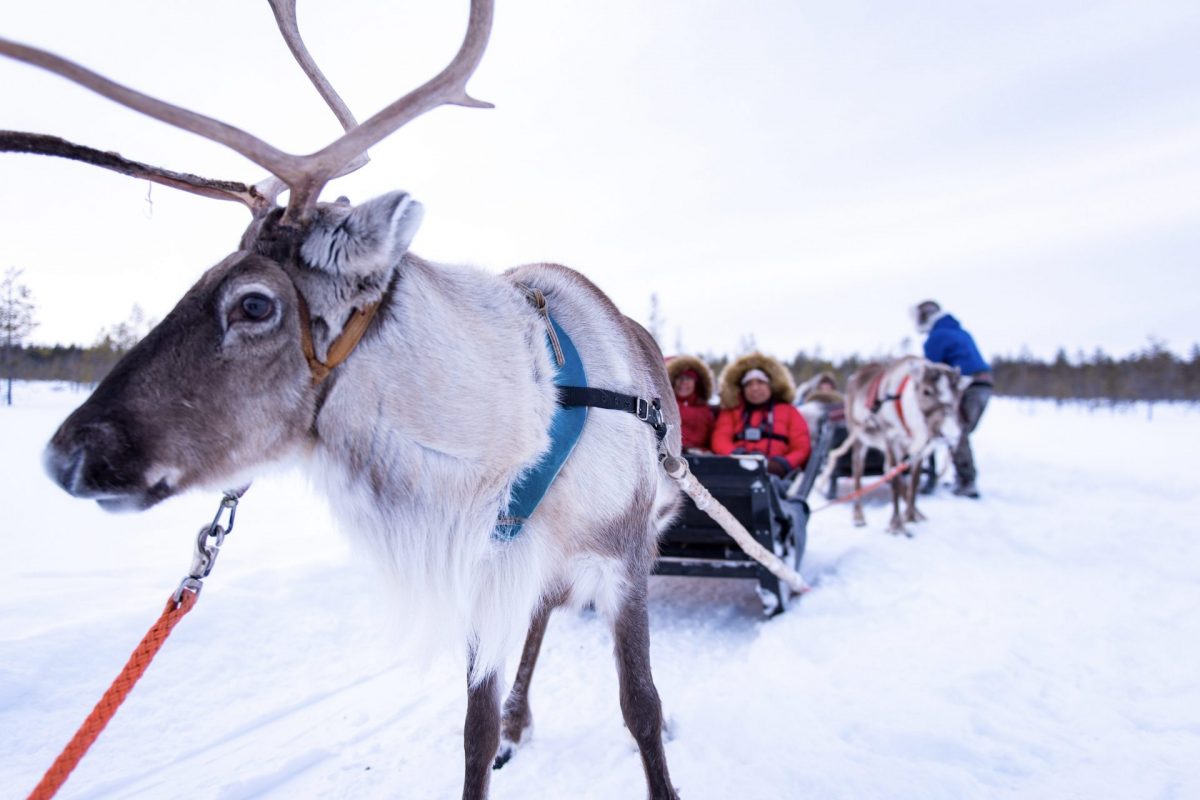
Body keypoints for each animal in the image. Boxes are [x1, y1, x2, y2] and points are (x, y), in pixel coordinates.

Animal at [1, 3, 684, 798]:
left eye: (255, 304)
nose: (65, 456)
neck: (521, 430)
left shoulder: (627, 556)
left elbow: (640, 705)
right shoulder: (487, 573)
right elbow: (474, 731)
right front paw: (500, 730)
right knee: (541, 620)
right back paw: (521, 722)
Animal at [821, 356, 961, 536]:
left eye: (958, 392)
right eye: (926, 391)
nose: (950, 432)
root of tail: (856, 375)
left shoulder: (919, 450)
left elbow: (914, 483)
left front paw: (911, 515)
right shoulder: (891, 440)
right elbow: (895, 481)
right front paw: (896, 524)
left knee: (888, 470)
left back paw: (916, 512)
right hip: (859, 438)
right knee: (858, 472)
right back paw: (858, 516)